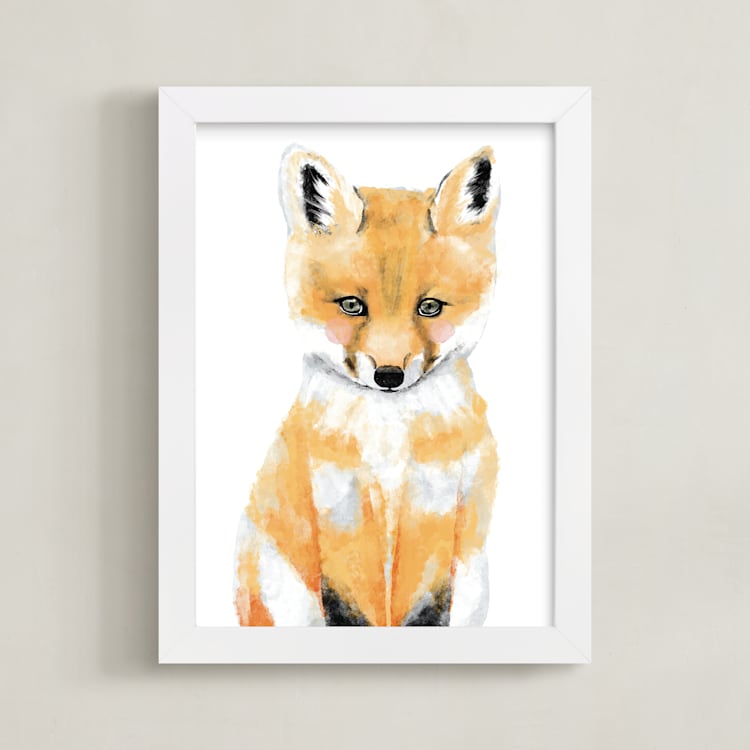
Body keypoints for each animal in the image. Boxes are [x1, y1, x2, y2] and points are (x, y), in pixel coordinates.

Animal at [234, 144, 500, 626]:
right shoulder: (338, 507)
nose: (389, 375)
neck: (388, 449)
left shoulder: (435, 505)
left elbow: (428, 609)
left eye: (430, 307)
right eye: (352, 306)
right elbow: (350, 608)